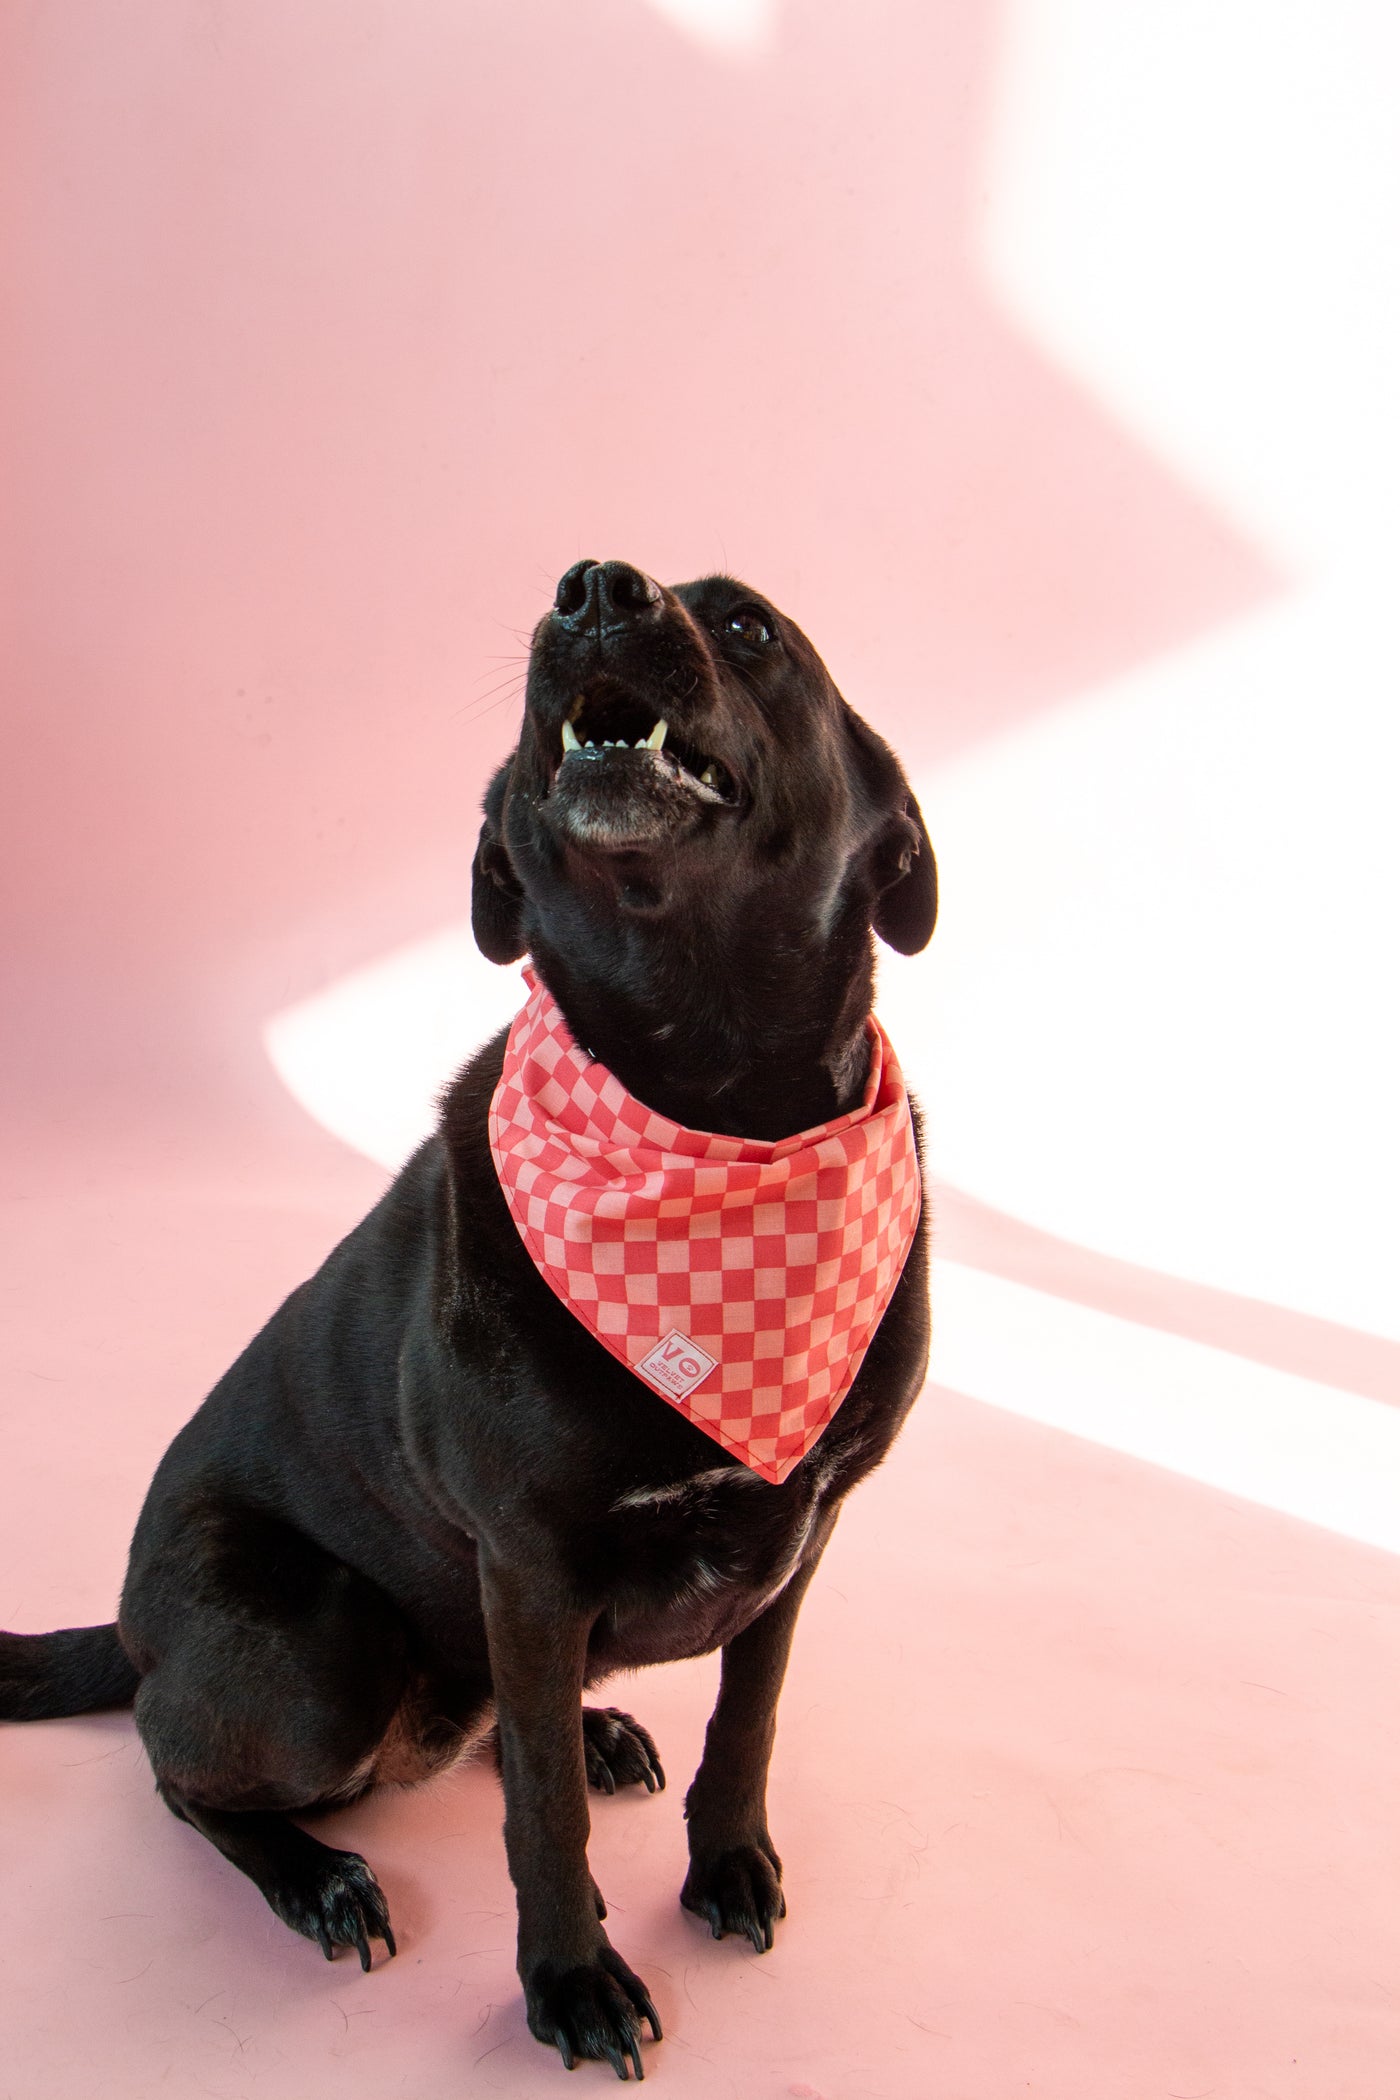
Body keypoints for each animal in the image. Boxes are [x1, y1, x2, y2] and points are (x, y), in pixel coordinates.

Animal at [5, 562, 940, 2083]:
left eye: (748, 625)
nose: (594, 591)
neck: (706, 1101)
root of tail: (135, 1628)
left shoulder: (802, 1534)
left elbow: (746, 1724)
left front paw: (727, 1863)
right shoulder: (528, 1559)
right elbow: (541, 1817)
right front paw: (569, 1979)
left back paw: (594, 1727)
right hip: (322, 1644)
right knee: (172, 1762)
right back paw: (316, 1874)